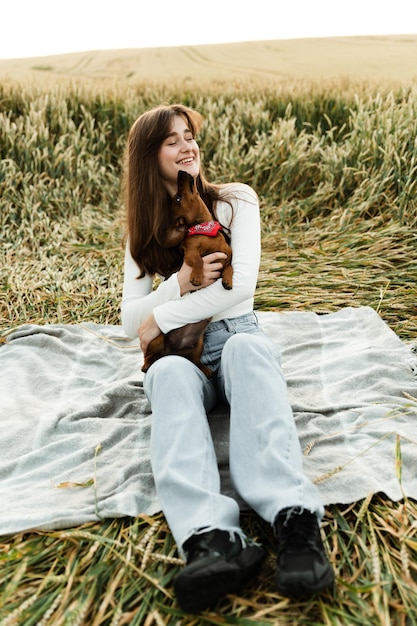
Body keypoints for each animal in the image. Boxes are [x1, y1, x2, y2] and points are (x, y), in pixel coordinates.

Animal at [139, 168, 231, 376]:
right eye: (178, 198)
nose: (182, 172)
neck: (205, 230)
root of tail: (170, 352)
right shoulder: (190, 252)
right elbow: (197, 259)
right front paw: (196, 277)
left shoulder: (227, 255)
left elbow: (230, 266)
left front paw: (228, 280)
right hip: (156, 339)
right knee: (148, 359)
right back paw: (147, 366)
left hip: (198, 344)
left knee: (194, 361)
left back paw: (205, 369)